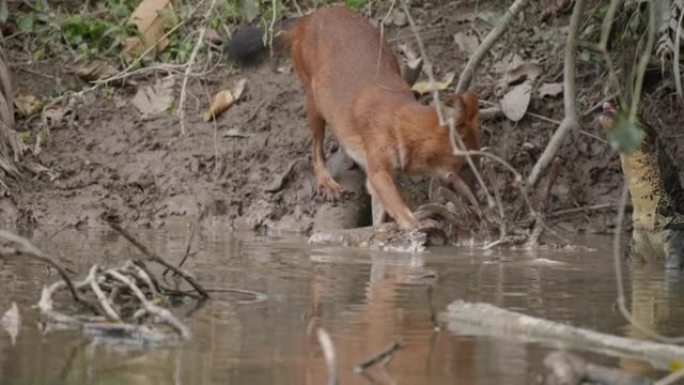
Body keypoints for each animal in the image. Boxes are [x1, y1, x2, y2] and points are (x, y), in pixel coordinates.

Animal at [286, 7, 478, 230]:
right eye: (465, 164)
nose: (476, 194)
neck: (401, 123)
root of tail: (310, 17)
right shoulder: (378, 171)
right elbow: (398, 205)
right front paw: (417, 223)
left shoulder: (376, 176)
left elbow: (378, 214)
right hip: (313, 101)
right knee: (315, 147)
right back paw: (327, 183)